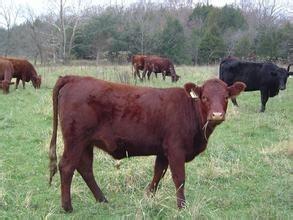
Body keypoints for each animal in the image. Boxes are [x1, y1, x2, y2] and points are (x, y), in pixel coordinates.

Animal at [49, 75, 245, 211]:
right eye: (204, 97)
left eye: (226, 97)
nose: (217, 115)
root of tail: (74, 77)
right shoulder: (175, 149)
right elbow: (179, 178)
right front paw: (182, 206)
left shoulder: (163, 151)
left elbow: (158, 173)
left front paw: (148, 196)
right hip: (75, 140)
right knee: (67, 167)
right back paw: (67, 207)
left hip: (86, 143)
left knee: (85, 169)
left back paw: (102, 199)